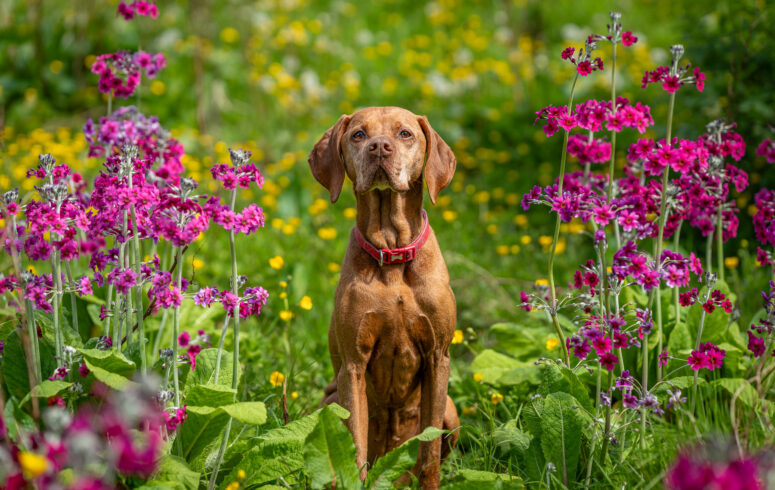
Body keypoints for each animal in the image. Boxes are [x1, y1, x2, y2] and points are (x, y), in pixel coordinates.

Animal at [310, 106, 460, 486]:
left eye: (405, 133)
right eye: (358, 135)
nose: (379, 147)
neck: (392, 255)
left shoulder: (438, 358)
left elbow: (430, 453)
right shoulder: (353, 366)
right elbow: (355, 449)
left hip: (452, 411)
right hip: (329, 403)